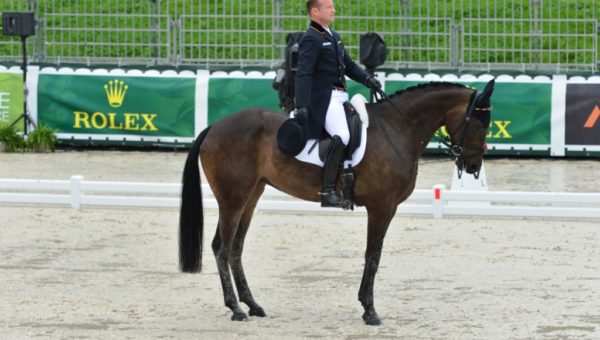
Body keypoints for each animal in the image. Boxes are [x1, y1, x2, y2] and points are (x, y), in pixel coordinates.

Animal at [179, 78, 496, 326]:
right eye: (478, 123)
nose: (473, 167)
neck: (397, 130)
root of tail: (215, 127)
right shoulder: (382, 207)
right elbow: (373, 256)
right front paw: (370, 311)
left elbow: (373, 256)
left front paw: (367, 307)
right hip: (233, 198)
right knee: (221, 247)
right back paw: (235, 308)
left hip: (251, 195)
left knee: (235, 248)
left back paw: (252, 305)